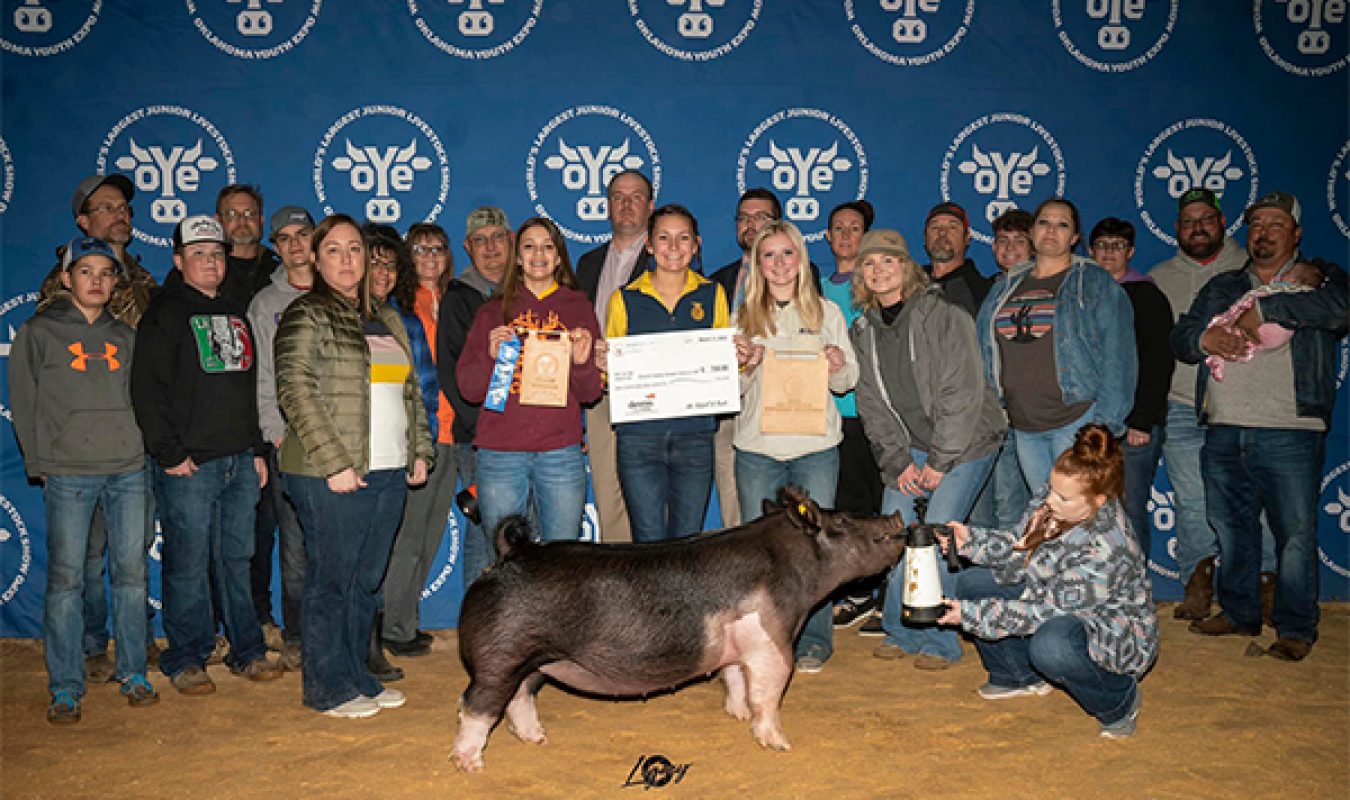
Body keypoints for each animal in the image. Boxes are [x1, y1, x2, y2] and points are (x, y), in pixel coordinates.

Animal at [450, 482, 907, 771]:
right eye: (842, 522)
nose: (896, 517)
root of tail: (510, 553)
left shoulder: (738, 645)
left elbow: (734, 678)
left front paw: (738, 716)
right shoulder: (770, 639)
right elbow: (770, 689)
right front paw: (779, 743)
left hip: (531, 660)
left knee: (519, 698)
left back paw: (537, 739)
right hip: (501, 656)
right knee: (476, 705)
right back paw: (469, 765)